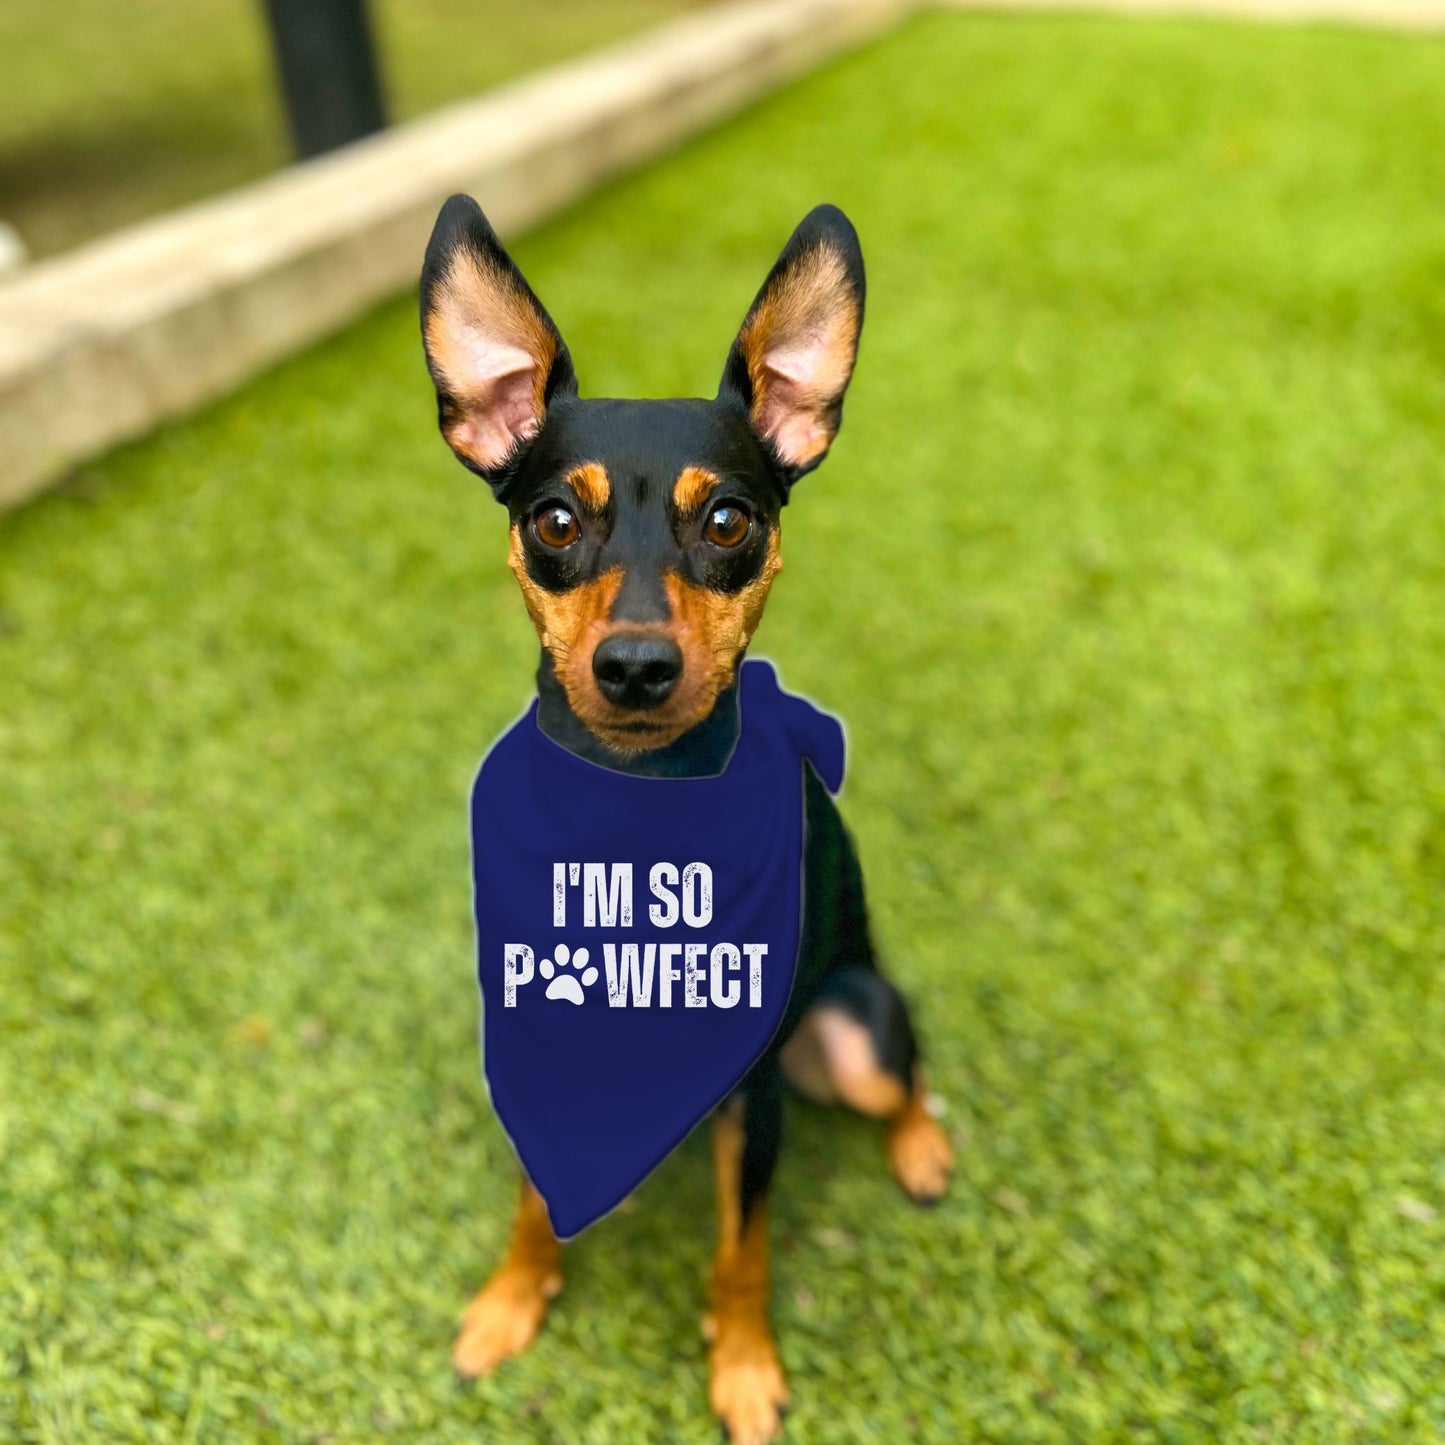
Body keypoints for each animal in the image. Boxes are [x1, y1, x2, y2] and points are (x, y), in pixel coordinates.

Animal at [421, 195, 959, 1445]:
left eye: (726, 519)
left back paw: (922, 1144)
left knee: (904, 1071)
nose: (632, 666)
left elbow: (740, 1249)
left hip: (855, 1028)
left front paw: (744, 1364)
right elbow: (528, 1202)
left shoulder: (751, 1102)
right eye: (551, 518)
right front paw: (511, 1299)